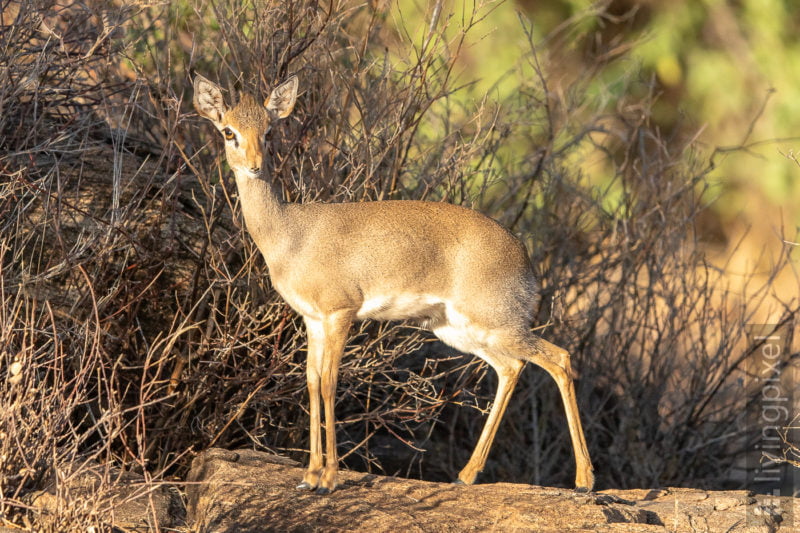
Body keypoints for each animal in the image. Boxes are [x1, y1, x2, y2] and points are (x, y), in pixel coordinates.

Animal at [192, 72, 592, 492]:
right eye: (228, 131)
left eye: (269, 131)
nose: (254, 166)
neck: (290, 234)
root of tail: (523, 254)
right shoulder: (312, 319)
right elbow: (313, 382)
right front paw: (310, 475)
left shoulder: (340, 313)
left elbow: (332, 382)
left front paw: (329, 477)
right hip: (459, 331)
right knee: (511, 368)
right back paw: (466, 475)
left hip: (498, 324)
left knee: (558, 359)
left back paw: (584, 479)